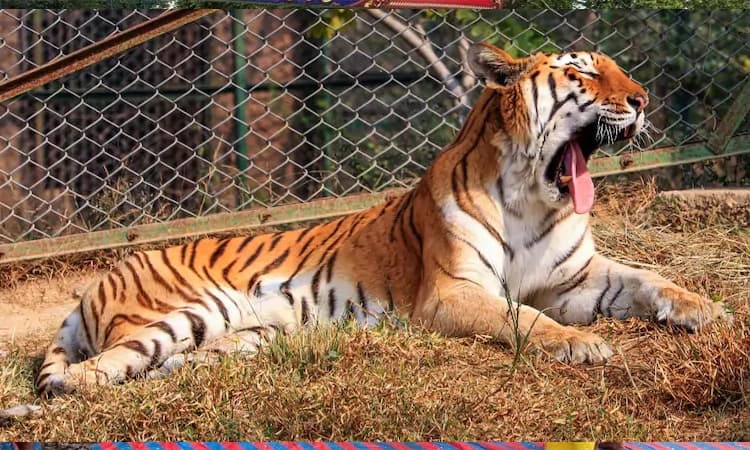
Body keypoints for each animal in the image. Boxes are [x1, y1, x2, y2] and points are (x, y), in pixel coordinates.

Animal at [33, 42, 729, 397]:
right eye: (583, 71)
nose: (643, 99)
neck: (534, 194)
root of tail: (94, 285)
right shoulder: (453, 293)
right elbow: (521, 317)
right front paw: (580, 344)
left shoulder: (575, 279)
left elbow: (646, 277)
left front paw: (706, 309)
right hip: (173, 315)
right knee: (86, 376)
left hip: (250, 330)